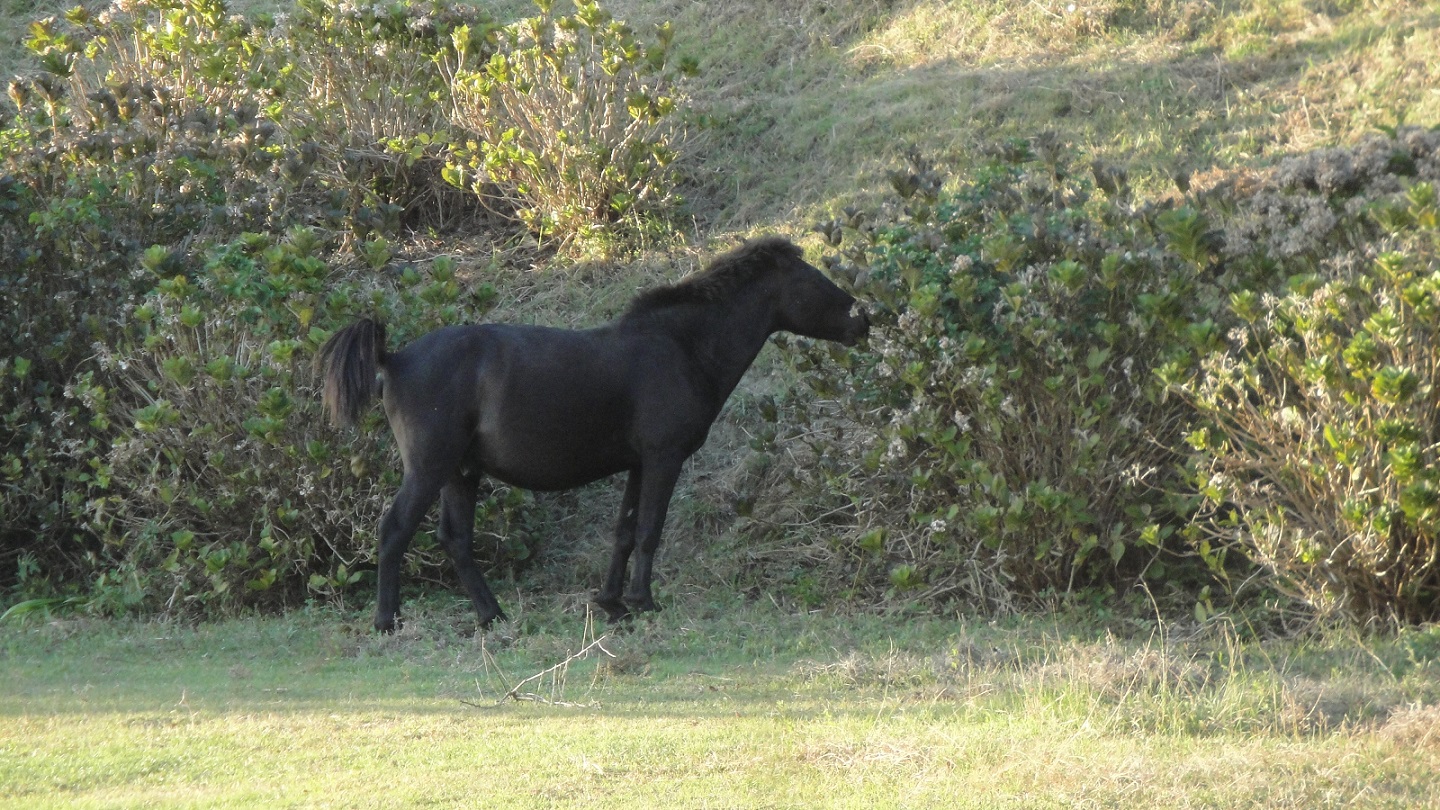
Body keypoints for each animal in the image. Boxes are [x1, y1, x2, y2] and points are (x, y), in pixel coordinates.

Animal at [318, 236, 864, 628]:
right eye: (812, 275)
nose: (864, 316)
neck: (680, 348)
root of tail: (395, 357)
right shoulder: (663, 459)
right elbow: (648, 531)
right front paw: (643, 602)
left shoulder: (639, 465)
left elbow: (623, 533)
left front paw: (612, 604)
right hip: (430, 468)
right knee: (395, 530)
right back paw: (388, 621)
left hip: (460, 473)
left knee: (455, 540)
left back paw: (493, 616)